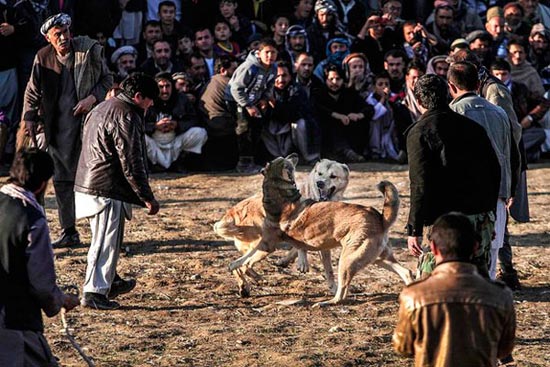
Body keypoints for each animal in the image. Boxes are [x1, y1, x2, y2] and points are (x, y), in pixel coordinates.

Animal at [229, 155, 414, 308]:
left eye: (287, 162)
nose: (294, 155)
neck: (281, 194)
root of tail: (379, 217)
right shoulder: (267, 243)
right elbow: (244, 260)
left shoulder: (267, 244)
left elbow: (246, 260)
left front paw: (243, 269)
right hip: (378, 258)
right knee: (407, 272)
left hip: (348, 260)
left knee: (342, 293)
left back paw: (326, 302)